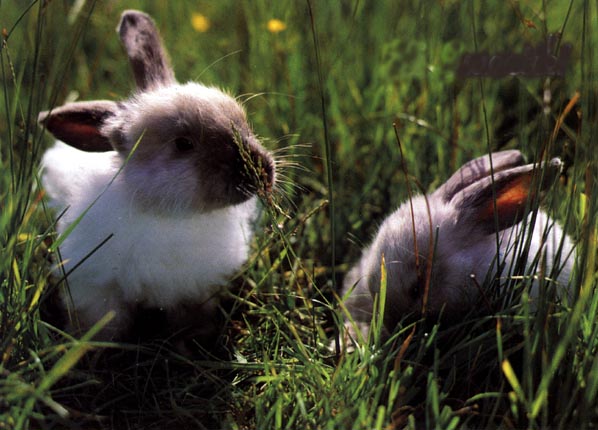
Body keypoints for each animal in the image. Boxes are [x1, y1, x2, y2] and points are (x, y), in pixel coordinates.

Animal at [38, 9, 278, 342]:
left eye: (242, 120)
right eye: (183, 144)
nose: (263, 172)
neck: (170, 215)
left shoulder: (193, 291)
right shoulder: (96, 289)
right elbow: (105, 322)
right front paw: (93, 345)